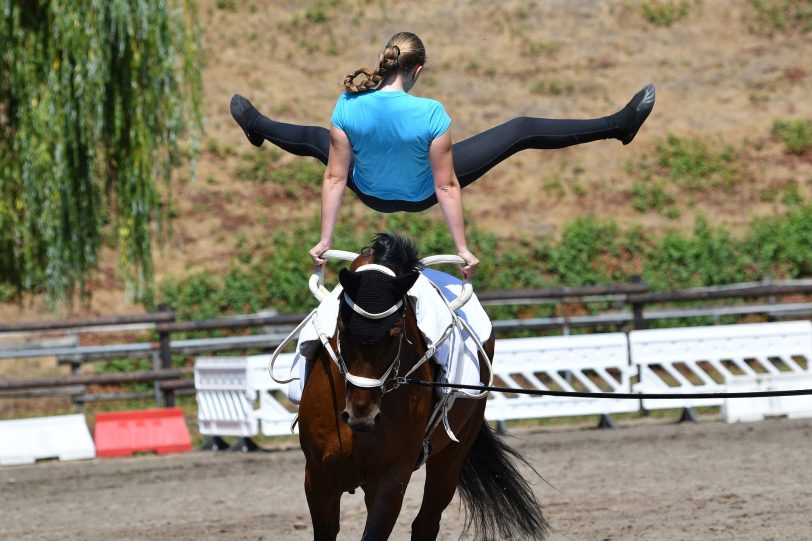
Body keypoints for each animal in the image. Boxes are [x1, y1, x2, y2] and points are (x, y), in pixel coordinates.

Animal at [294, 233, 548, 540]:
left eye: (396, 332)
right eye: (343, 328)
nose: (361, 415)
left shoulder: (390, 482)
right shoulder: (318, 480)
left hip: (451, 456)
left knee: (427, 522)